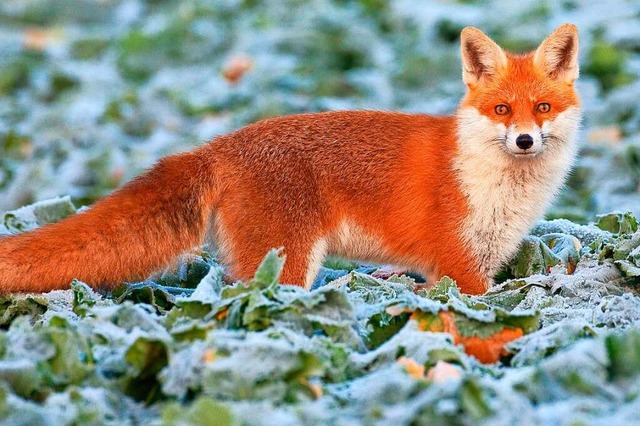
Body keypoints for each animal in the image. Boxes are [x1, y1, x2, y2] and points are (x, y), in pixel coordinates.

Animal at [0, 25, 580, 294]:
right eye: (502, 109)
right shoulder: (460, 271)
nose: (524, 140)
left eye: (542, 108)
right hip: (288, 269)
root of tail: (214, 146)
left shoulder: (463, 269)